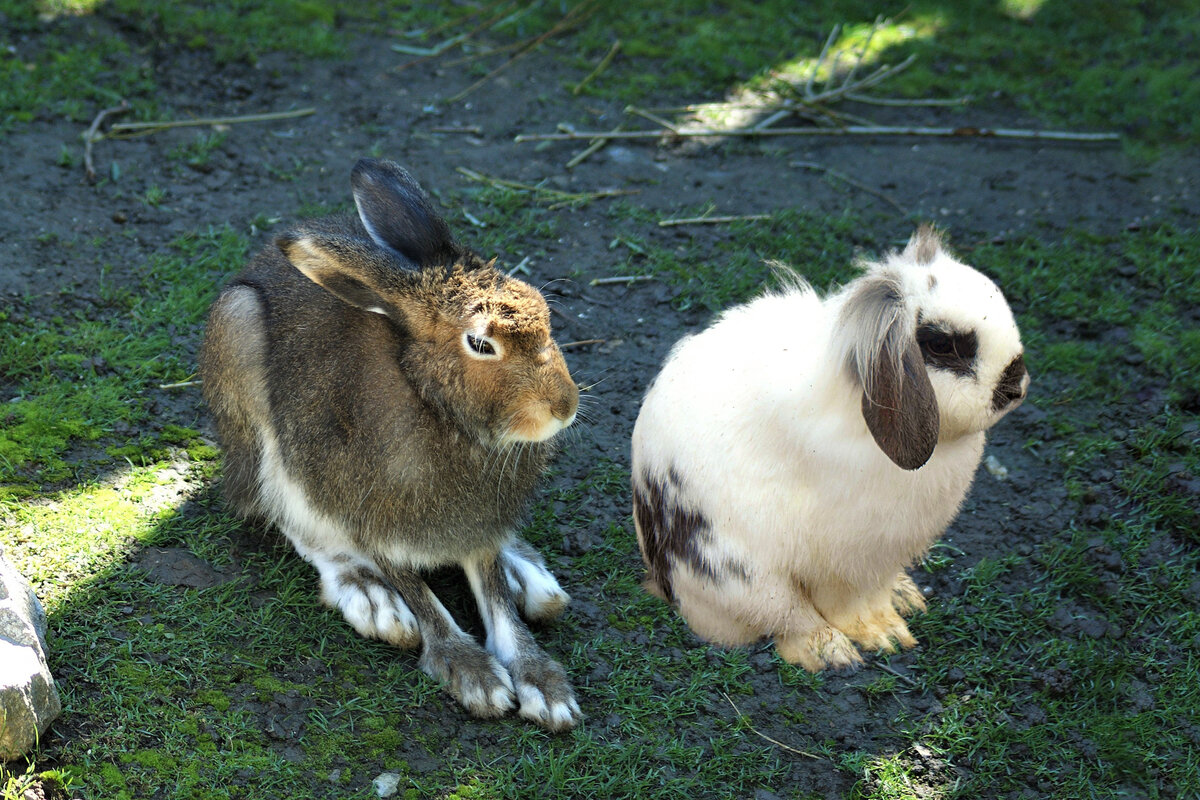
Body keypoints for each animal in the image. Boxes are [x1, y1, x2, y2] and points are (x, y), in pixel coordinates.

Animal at [200, 158, 580, 734]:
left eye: (545, 314)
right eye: (480, 343)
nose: (564, 406)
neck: (436, 404)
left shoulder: (481, 523)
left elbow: (493, 589)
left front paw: (542, 682)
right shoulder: (365, 503)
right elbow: (415, 587)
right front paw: (471, 671)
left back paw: (530, 577)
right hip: (239, 345)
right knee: (281, 512)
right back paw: (368, 593)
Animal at [628, 225, 1032, 671]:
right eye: (941, 344)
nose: (1015, 385)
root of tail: (665, 581)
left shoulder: (882, 557)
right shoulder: (851, 559)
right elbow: (846, 606)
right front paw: (885, 636)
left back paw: (905, 595)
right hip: (741, 574)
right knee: (788, 618)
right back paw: (832, 651)